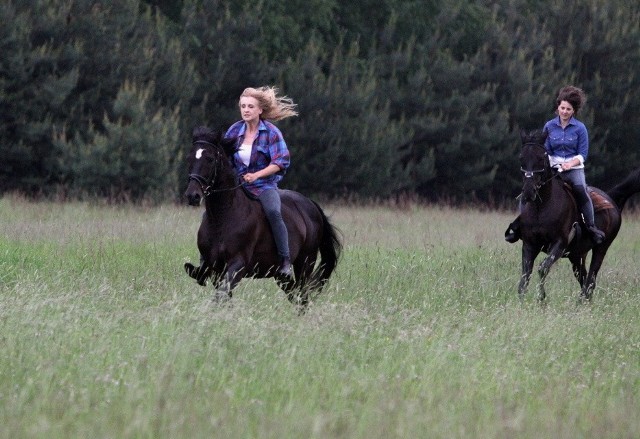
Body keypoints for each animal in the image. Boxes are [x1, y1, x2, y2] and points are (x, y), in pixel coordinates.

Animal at [182, 125, 342, 308]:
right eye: (189, 158)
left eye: (209, 159)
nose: (192, 196)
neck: (223, 217)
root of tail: (311, 204)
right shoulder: (215, 267)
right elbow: (223, 297)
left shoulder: (237, 264)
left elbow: (221, 295)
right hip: (280, 276)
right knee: (295, 295)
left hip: (305, 263)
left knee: (303, 297)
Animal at [516, 130, 640, 302]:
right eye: (521, 158)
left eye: (541, 157)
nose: (528, 192)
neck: (541, 208)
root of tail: (611, 199)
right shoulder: (529, 245)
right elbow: (524, 276)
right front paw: (523, 301)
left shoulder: (559, 244)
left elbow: (542, 268)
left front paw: (541, 298)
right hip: (577, 254)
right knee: (584, 277)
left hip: (601, 248)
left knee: (591, 279)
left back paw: (582, 300)